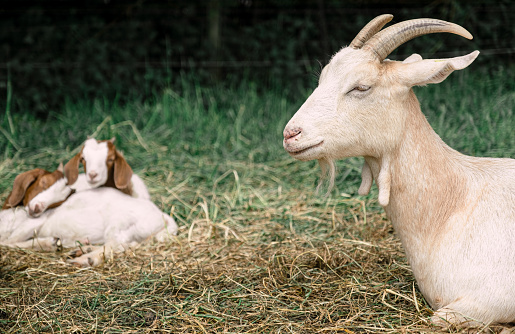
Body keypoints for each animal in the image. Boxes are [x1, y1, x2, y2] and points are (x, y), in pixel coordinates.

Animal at [0, 187, 177, 268]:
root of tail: (163, 216)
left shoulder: (32, 222)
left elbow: (10, 242)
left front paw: (50, 243)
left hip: (121, 222)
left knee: (114, 244)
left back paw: (84, 259)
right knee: (125, 246)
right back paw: (82, 250)